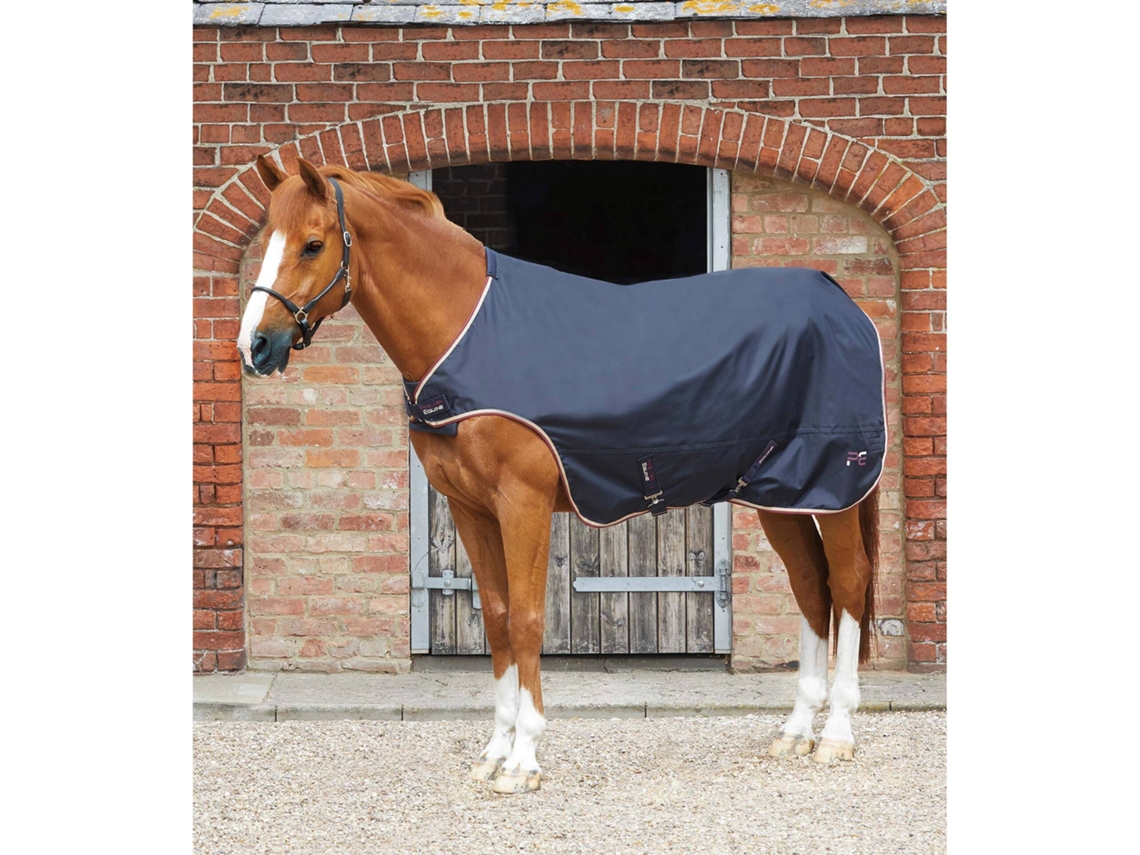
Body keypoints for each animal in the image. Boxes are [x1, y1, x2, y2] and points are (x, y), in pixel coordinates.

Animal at [237, 156, 881, 795]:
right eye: (266, 240)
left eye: (313, 244)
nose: (255, 347)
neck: (466, 334)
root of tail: (842, 303)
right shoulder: (471, 509)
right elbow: (498, 619)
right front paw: (494, 752)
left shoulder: (522, 503)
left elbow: (527, 620)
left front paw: (524, 759)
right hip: (782, 494)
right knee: (810, 586)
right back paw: (796, 732)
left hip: (835, 488)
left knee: (849, 581)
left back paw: (836, 735)